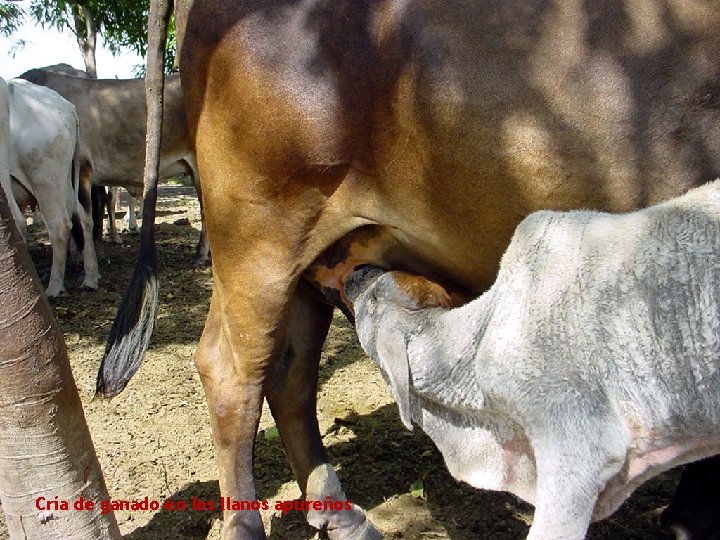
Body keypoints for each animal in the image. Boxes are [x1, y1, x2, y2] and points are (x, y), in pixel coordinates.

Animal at [3, 77, 98, 296]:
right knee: (82, 216)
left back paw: (54, 287)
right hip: (62, 179)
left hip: (44, 177)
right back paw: (91, 277)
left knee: (57, 223)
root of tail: (68, 108)